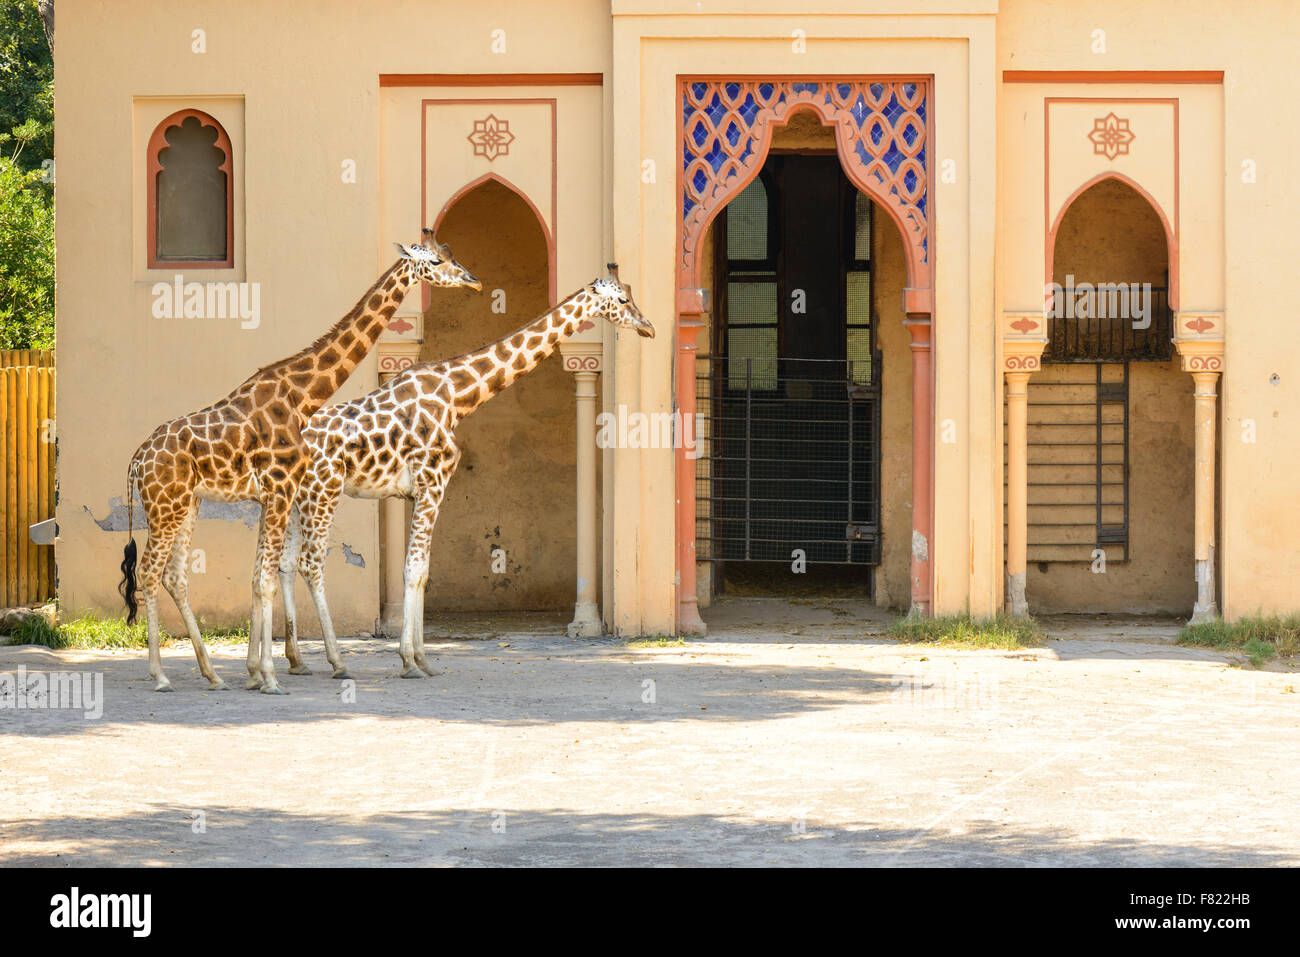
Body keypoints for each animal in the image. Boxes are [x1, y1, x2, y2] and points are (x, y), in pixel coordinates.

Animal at [115, 231, 483, 696]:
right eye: (435, 261)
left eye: (451, 256)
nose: (473, 280)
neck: (301, 395)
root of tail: (135, 459)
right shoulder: (278, 488)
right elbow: (266, 579)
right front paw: (271, 677)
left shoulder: (275, 493)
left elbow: (263, 576)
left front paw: (259, 672)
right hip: (165, 507)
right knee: (148, 572)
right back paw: (161, 676)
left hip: (187, 505)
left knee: (174, 576)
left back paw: (212, 674)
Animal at [278, 265, 655, 676]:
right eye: (623, 300)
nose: (649, 327)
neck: (457, 395)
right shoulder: (432, 484)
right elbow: (414, 569)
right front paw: (409, 659)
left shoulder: (424, 490)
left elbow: (423, 571)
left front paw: (423, 659)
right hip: (323, 492)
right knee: (310, 564)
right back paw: (336, 660)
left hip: (297, 500)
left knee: (283, 564)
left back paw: (294, 660)